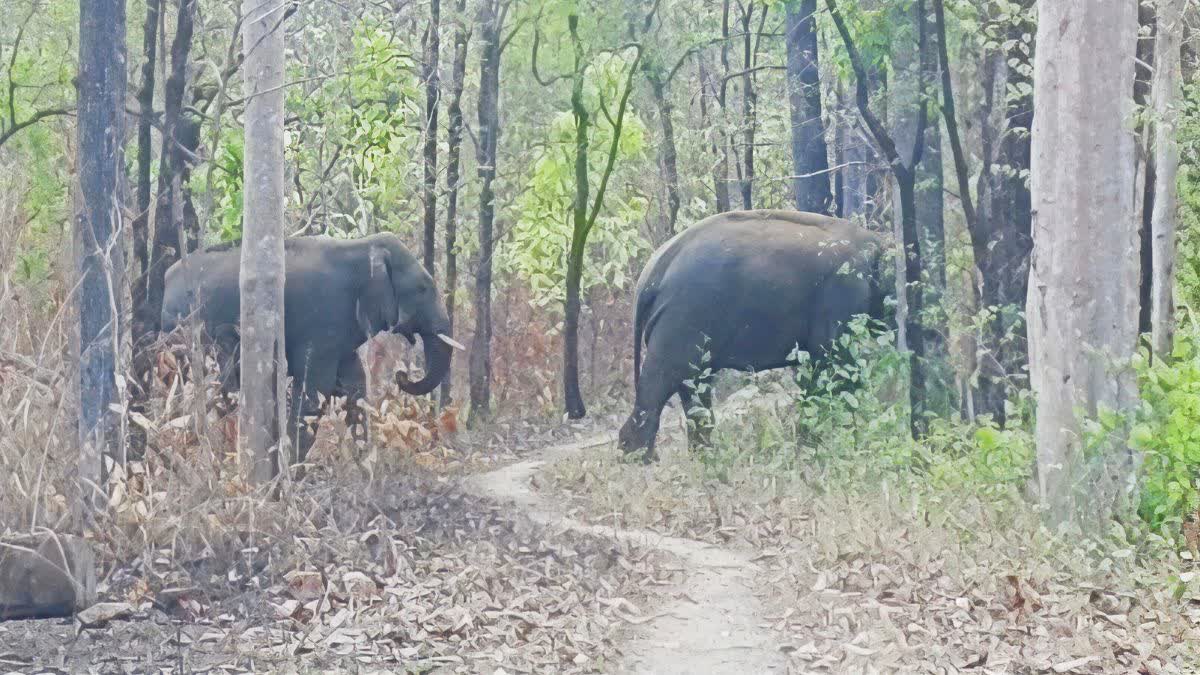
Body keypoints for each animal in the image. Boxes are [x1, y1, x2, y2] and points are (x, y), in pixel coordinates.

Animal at [161, 232, 455, 463]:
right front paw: (292, 472)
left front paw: (365, 467)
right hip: (188, 329)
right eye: (423, 288)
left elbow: (355, 386)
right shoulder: (321, 323)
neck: (361, 246)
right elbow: (315, 391)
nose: (401, 375)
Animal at [617, 209, 891, 461]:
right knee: (662, 383)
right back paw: (641, 458)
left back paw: (704, 457)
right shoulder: (844, 294)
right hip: (681, 320)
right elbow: (834, 366)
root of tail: (651, 274)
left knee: (693, 389)